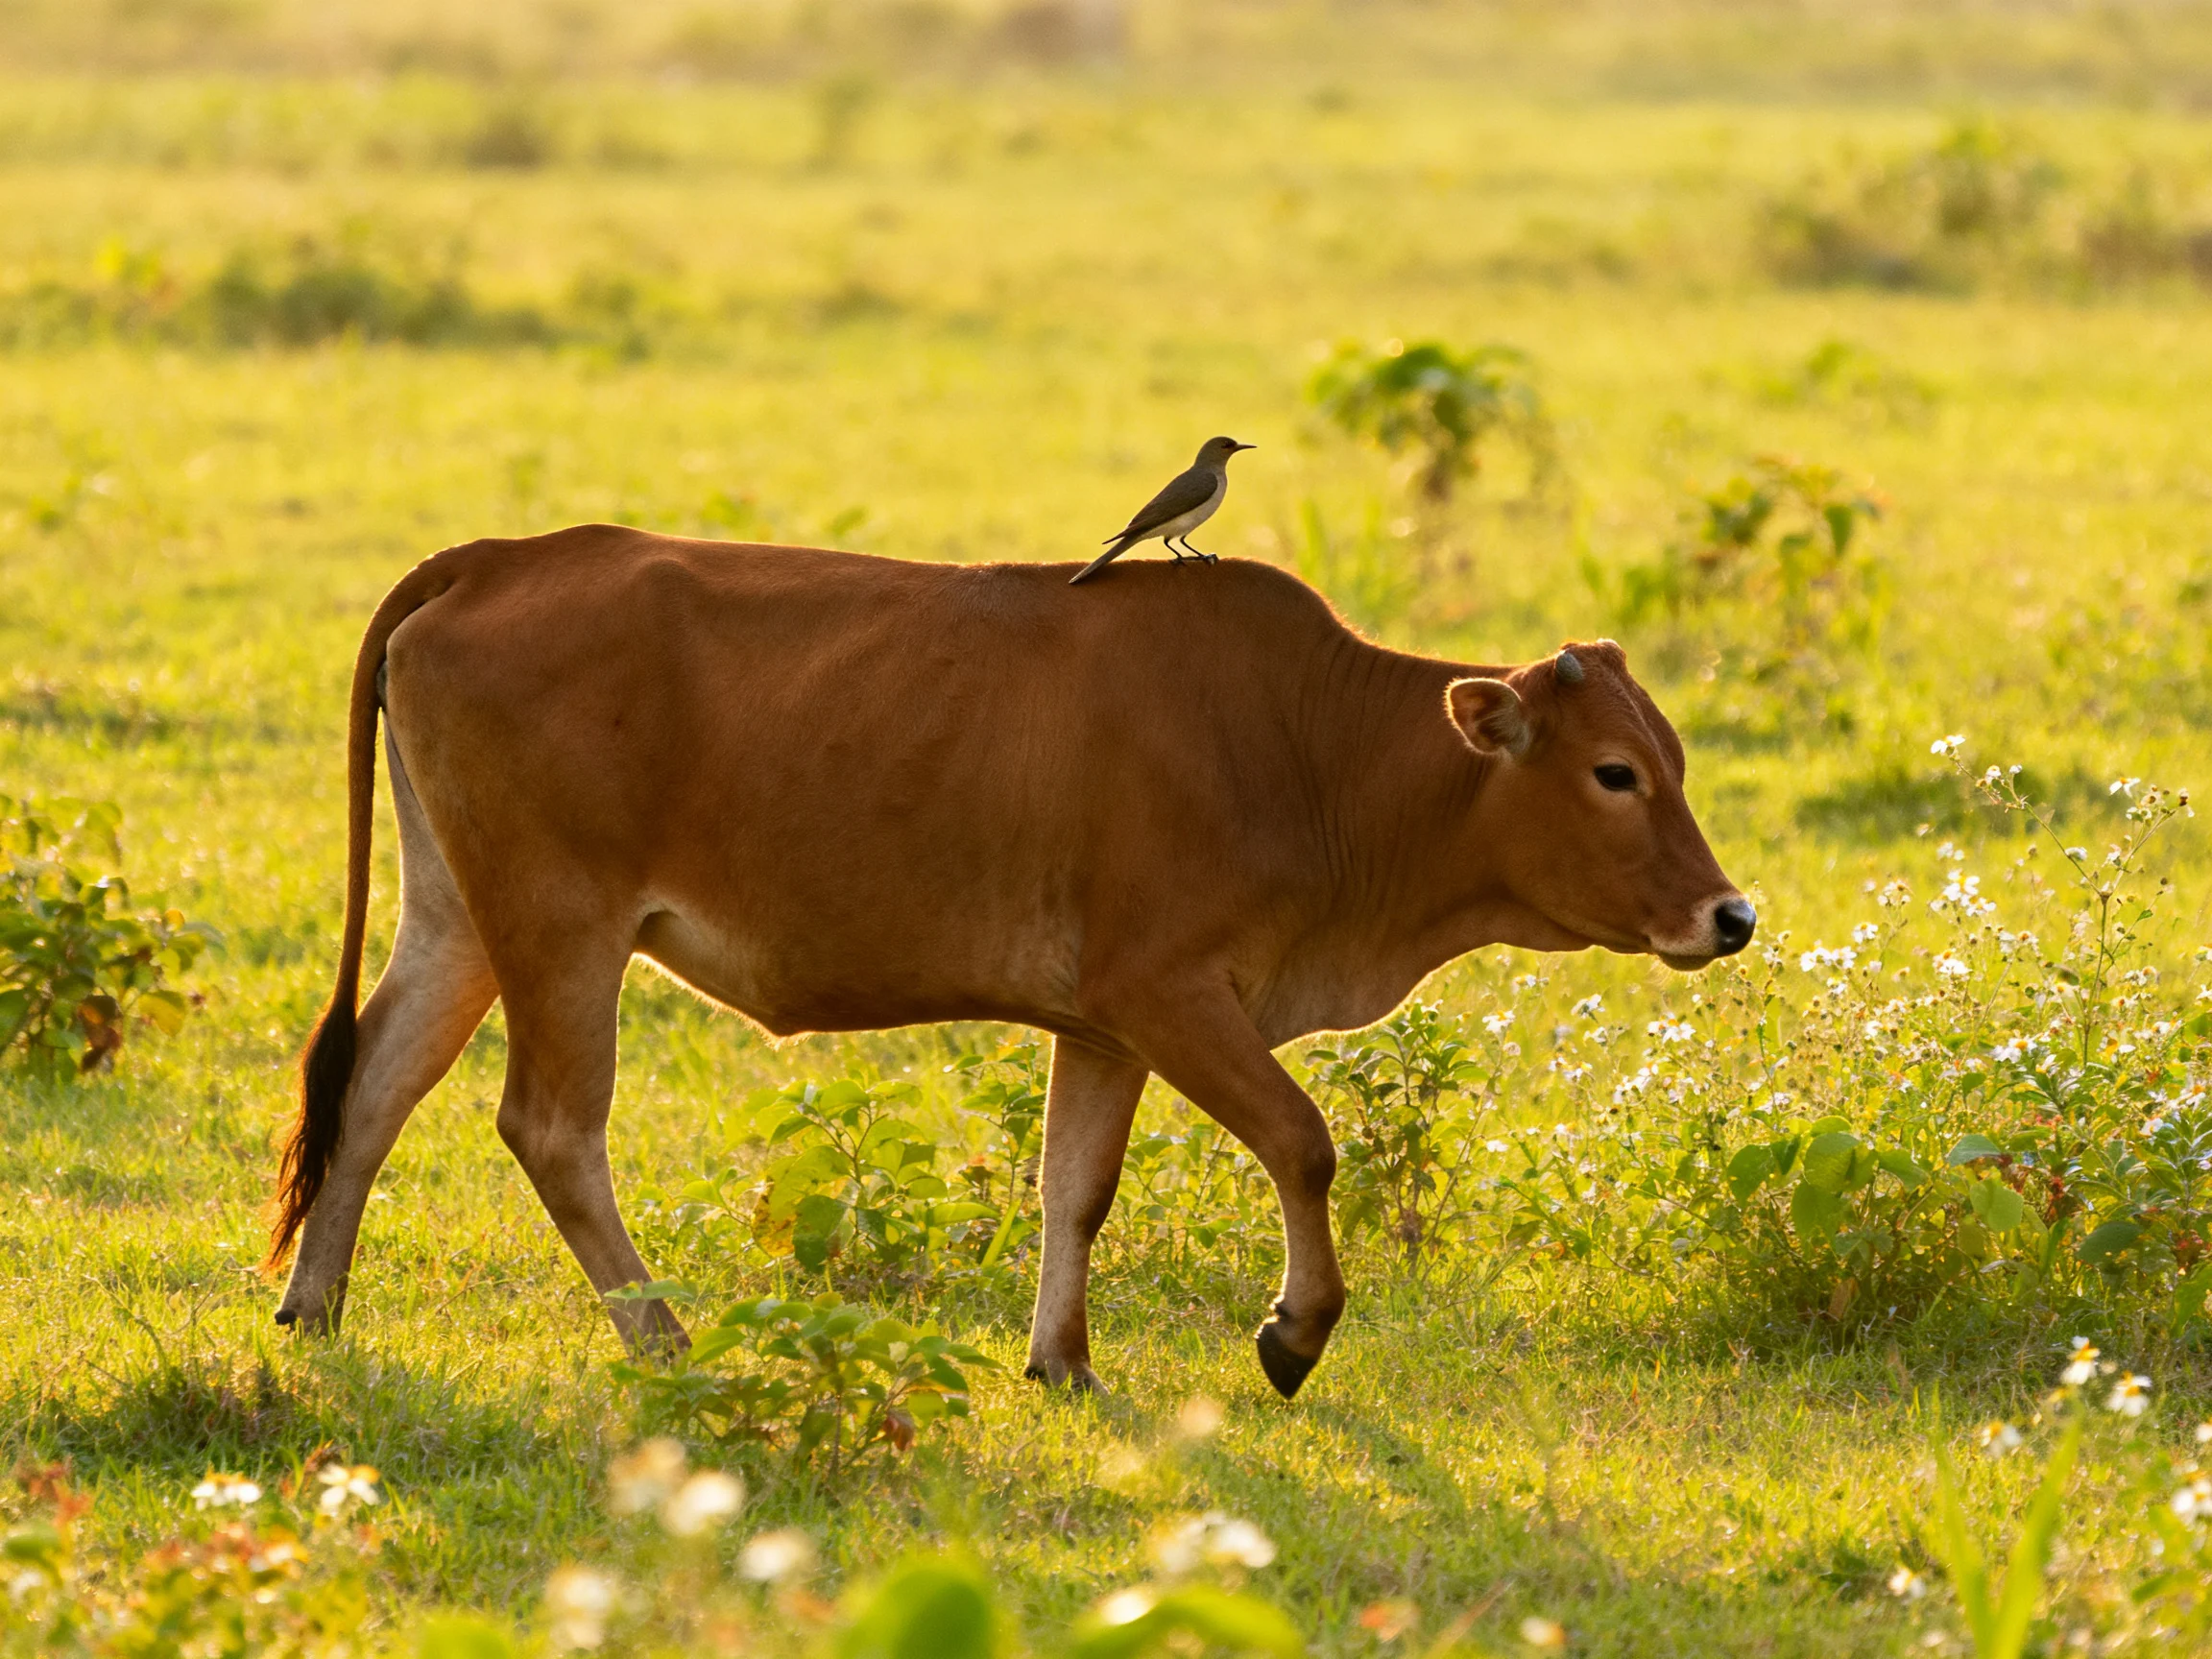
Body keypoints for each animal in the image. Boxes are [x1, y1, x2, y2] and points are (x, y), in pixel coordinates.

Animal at [266, 525, 1753, 1398]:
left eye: (1671, 759)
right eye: (1613, 774)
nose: (1729, 916)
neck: (1316, 750)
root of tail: (498, 556)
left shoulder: (1100, 1027)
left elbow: (1073, 1192)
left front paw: (1063, 1363)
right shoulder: (1170, 994)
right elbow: (1306, 1141)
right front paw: (1294, 1332)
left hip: (460, 916)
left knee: (374, 1086)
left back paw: (314, 1307)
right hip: (562, 926)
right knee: (550, 1128)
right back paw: (665, 1339)